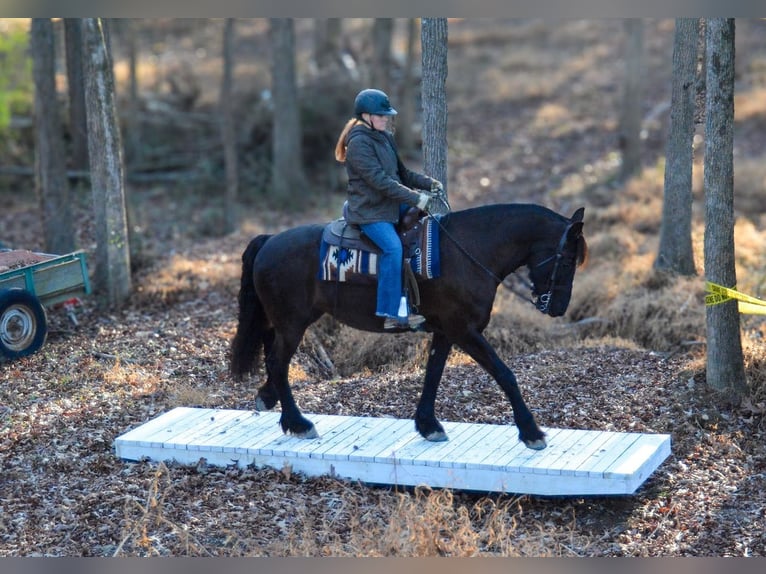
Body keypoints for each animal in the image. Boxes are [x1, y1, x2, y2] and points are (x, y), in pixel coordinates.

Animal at [230, 203, 587, 450]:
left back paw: (273, 404)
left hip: (283, 323)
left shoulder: (446, 331)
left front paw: (429, 425)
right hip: (293, 324)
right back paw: (299, 423)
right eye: (569, 260)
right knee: (277, 363)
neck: (469, 252)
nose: (558, 308)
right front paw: (531, 432)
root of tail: (269, 240)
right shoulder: (464, 330)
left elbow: (433, 374)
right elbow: (505, 374)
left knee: (273, 360)